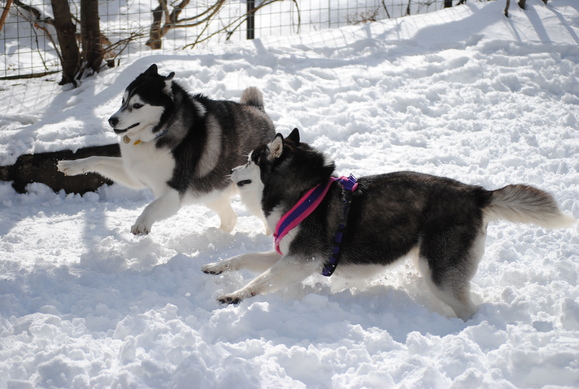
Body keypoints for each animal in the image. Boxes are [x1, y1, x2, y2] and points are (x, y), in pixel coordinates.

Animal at [57, 64, 276, 233]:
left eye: (137, 105)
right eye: (123, 100)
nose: (112, 120)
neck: (158, 134)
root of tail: (258, 110)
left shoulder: (174, 192)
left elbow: (151, 206)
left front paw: (142, 224)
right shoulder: (134, 174)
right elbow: (97, 158)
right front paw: (71, 165)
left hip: (249, 194)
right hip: (210, 192)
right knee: (230, 218)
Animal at [204, 129, 576, 320]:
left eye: (250, 160)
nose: (231, 171)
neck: (304, 193)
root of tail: (475, 193)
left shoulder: (302, 259)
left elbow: (261, 281)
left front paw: (234, 296)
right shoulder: (290, 255)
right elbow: (244, 259)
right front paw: (216, 267)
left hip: (439, 273)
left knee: (470, 308)